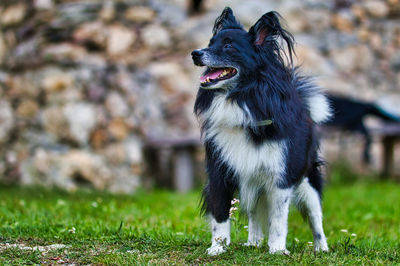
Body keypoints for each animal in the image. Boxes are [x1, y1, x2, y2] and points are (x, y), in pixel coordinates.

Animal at [191, 7, 332, 255]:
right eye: (210, 43)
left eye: (229, 46)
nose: (195, 54)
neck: (241, 99)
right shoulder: (219, 170)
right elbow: (220, 215)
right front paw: (217, 247)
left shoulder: (280, 177)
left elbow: (278, 220)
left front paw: (276, 250)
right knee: (254, 213)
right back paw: (254, 242)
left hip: (308, 181)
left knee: (316, 217)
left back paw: (321, 248)